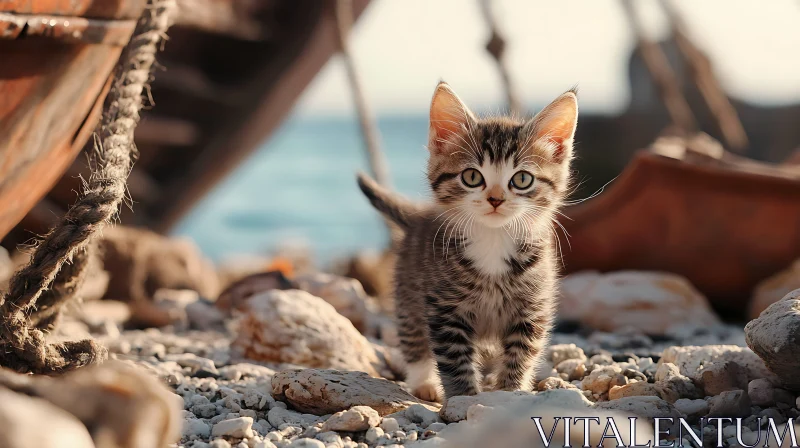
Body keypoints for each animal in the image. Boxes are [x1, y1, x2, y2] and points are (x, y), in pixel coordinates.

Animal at [360, 80, 580, 400]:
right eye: (472, 177)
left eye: (522, 179)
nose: (496, 199)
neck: (493, 239)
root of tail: (419, 218)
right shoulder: (444, 307)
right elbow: (454, 360)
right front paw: (464, 399)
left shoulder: (533, 306)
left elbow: (521, 354)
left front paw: (510, 392)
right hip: (408, 293)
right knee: (413, 338)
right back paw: (424, 383)